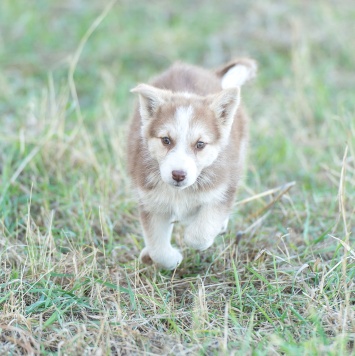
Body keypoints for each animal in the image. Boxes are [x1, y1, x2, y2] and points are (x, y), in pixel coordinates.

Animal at [129, 58, 258, 270]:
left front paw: (194, 234)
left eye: (200, 144)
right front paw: (170, 259)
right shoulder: (150, 202)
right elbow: (157, 247)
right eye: (166, 140)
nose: (178, 175)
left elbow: (200, 233)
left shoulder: (222, 190)